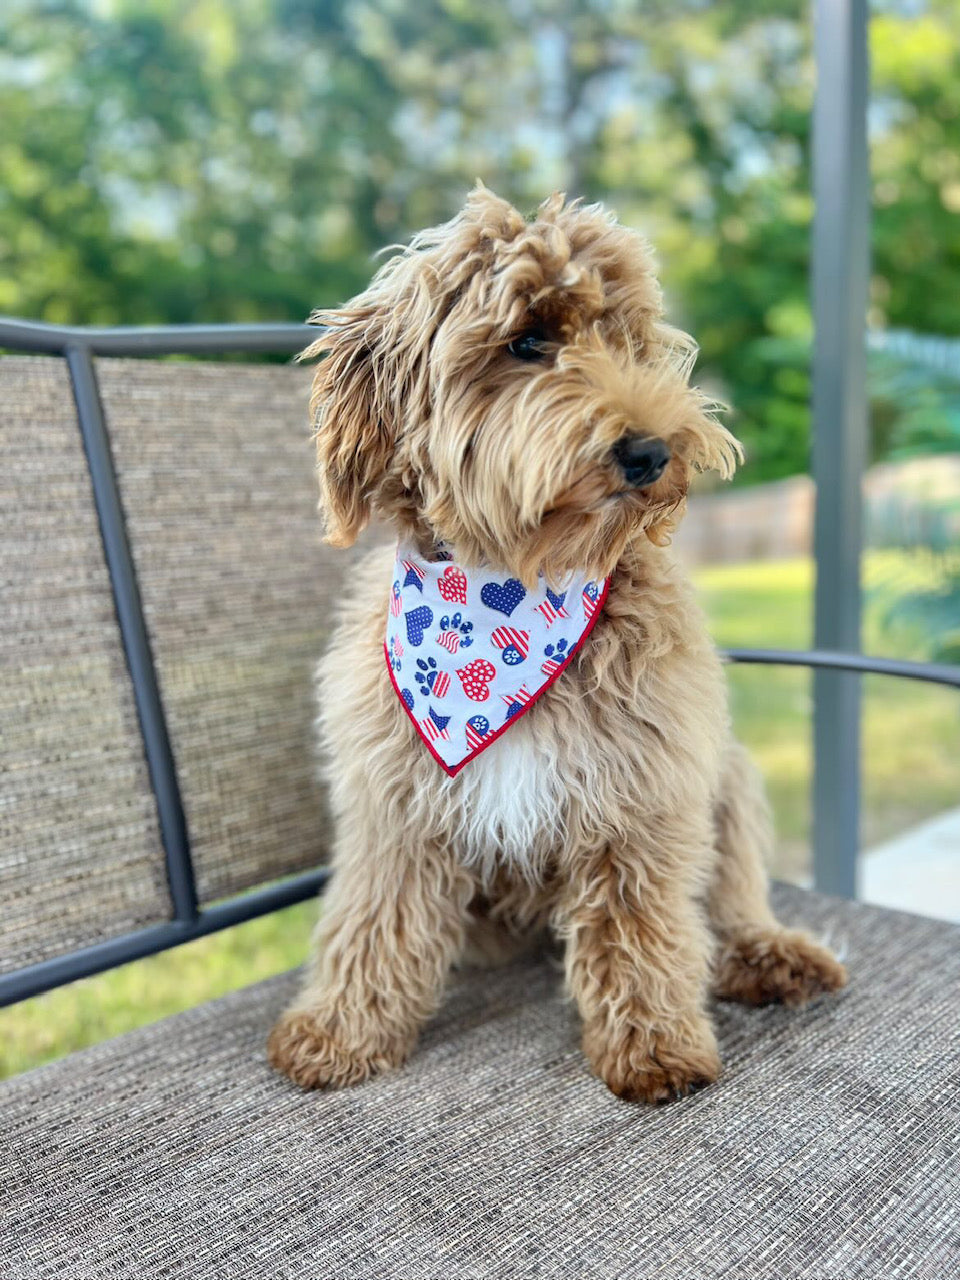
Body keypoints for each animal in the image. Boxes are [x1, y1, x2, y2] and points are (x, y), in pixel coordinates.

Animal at [267, 185, 844, 1105]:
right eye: (528, 341)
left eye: (631, 341)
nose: (653, 451)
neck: (515, 589)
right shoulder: (395, 801)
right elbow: (375, 914)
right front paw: (343, 1028)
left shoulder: (645, 790)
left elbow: (643, 926)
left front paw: (654, 1046)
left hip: (729, 775)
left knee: (730, 898)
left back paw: (768, 953)